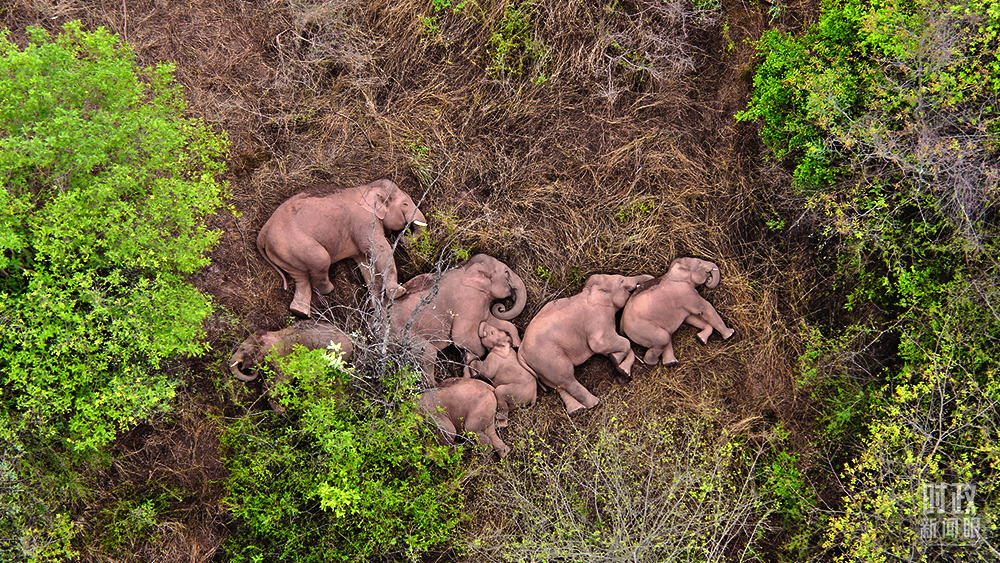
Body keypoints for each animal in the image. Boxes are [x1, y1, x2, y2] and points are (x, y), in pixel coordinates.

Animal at [254, 180, 426, 318]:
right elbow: (380, 249)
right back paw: (328, 290)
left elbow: (365, 263)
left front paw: (374, 307)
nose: (404, 234)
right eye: (405, 204)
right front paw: (399, 292)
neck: (367, 187)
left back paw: (300, 312)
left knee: (300, 277)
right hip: (294, 244)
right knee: (321, 259)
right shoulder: (364, 222)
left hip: (284, 253)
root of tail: (262, 234)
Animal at [390, 254, 528, 388]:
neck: (467, 267)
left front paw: (516, 343)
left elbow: (491, 321)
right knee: (428, 353)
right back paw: (439, 385)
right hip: (403, 333)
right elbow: (461, 336)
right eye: (506, 272)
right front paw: (470, 364)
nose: (501, 307)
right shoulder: (469, 299)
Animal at [516, 276, 656, 416]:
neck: (588, 292)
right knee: (567, 378)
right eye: (621, 280)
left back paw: (577, 410)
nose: (650, 281)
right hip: (548, 358)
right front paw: (616, 360)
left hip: (540, 367)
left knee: (558, 385)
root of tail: (521, 352)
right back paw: (594, 403)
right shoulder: (598, 318)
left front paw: (620, 366)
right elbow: (603, 344)